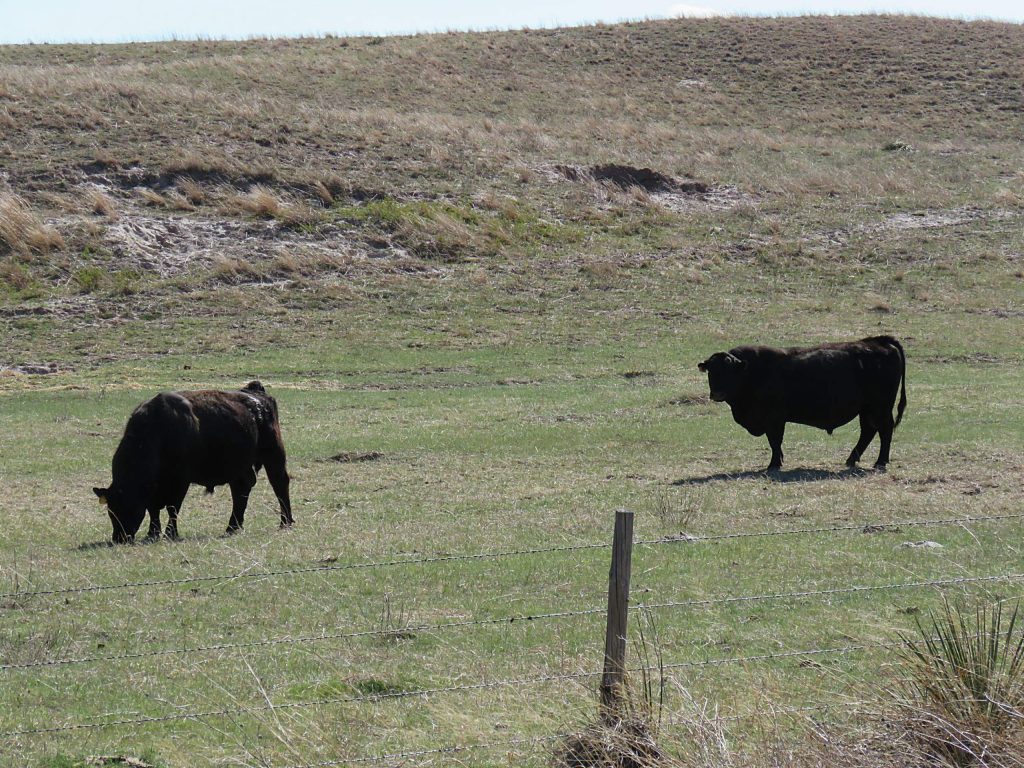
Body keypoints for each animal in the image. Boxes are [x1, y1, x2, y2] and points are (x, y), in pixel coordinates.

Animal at [92, 381, 293, 543]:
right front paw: (152, 533)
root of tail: (256, 392)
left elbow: (173, 507)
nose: (119, 538)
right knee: (241, 490)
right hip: (239, 467)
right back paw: (232, 527)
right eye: (111, 510)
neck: (157, 431)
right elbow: (153, 509)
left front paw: (170, 533)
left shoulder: (181, 480)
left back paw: (286, 522)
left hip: (274, 453)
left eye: (129, 506)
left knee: (279, 483)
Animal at [697, 336, 907, 471]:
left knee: (884, 430)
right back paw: (851, 460)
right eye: (711, 371)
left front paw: (774, 464)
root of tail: (879, 341)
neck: (752, 371)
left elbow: (775, 441)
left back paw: (880, 462)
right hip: (867, 409)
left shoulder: (774, 419)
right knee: (868, 431)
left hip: (880, 407)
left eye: (729, 371)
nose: (717, 393)